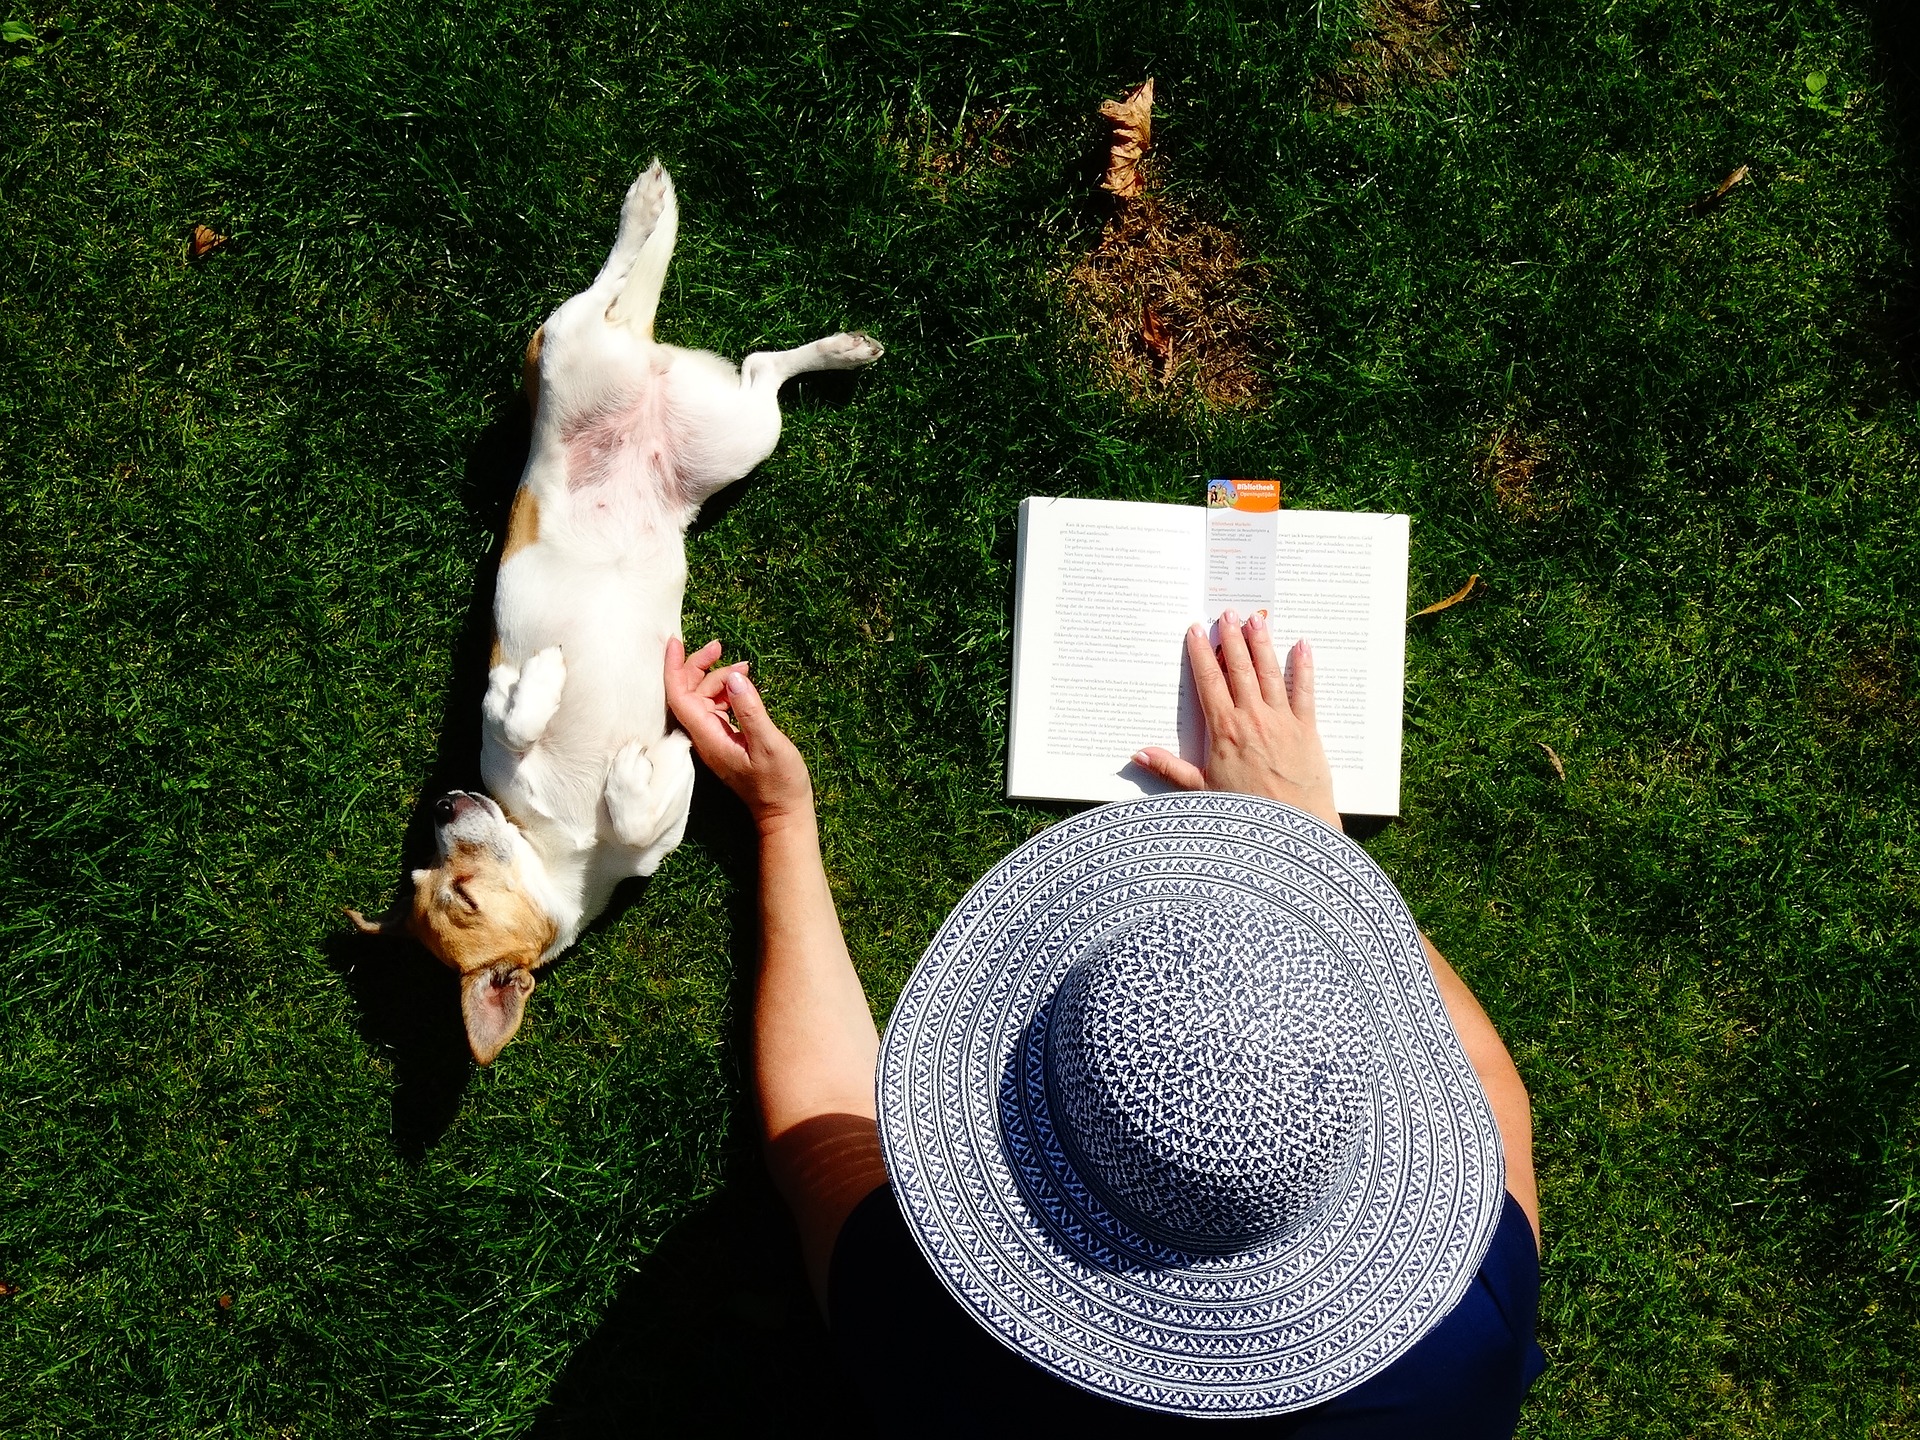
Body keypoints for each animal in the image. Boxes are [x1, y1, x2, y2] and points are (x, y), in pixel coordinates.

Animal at [351, 163, 879, 1067]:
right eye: (426, 875)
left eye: (458, 892)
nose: (445, 802)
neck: (567, 850)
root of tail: (643, 359)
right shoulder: (648, 840)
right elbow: (646, 801)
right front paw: (649, 759)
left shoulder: (503, 743)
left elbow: (511, 710)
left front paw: (543, 685)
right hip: (740, 430)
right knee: (752, 362)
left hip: (586, 352)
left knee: (614, 288)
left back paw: (651, 210)